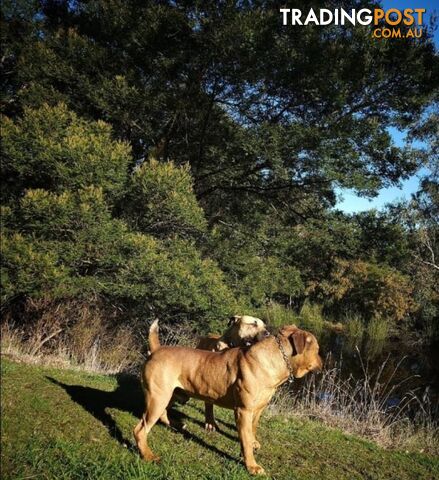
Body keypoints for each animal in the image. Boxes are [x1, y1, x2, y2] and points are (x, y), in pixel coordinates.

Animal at [134, 320, 324, 474]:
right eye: (317, 350)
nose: (322, 363)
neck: (275, 358)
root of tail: (158, 349)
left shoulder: (258, 409)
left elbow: (252, 430)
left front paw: (253, 443)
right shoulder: (243, 410)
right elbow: (245, 439)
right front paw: (252, 466)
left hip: (171, 394)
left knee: (163, 413)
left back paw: (176, 424)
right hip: (159, 397)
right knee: (141, 429)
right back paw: (148, 455)